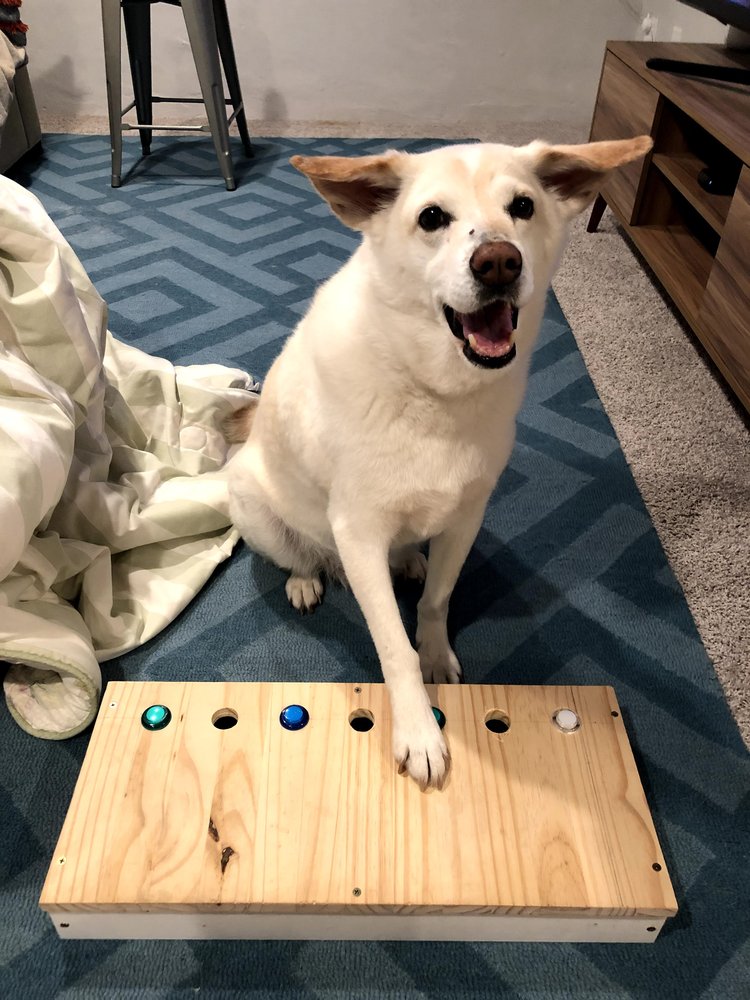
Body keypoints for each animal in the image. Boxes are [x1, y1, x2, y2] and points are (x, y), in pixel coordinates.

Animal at [228, 137, 652, 788]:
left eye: (522, 206)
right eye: (432, 218)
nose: (499, 262)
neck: (434, 390)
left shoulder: (465, 516)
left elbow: (435, 604)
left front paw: (436, 658)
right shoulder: (358, 532)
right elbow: (392, 647)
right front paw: (419, 732)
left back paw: (408, 561)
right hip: (253, 500)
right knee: (298, 554)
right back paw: (305, 578)